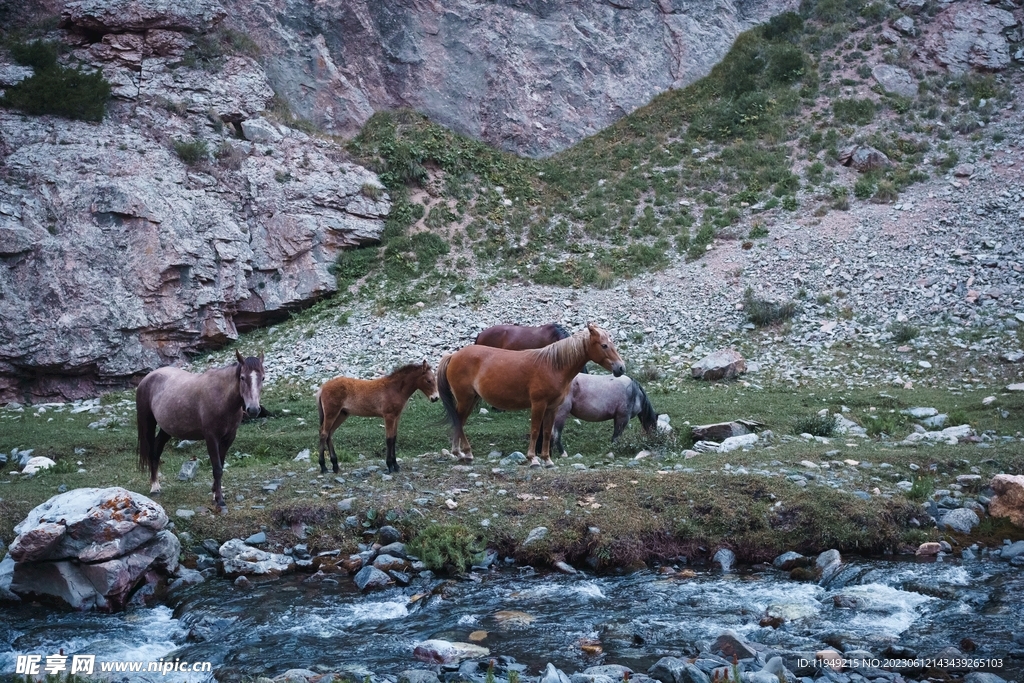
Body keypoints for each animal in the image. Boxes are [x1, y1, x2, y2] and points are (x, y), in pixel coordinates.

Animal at [136, 350, 264, 510]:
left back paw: (156, 485)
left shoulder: (228, 438)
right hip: (149, 424)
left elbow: (221, 465)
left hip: (167, 428)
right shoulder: (211, 437)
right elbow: (217, 468)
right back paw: (154, 487)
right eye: (242, 377)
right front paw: (220, 500)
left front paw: (215, 494)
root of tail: (148, 377)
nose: (253, 409)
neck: (222, 397)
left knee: (156, 450)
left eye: (263, 378)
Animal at [437, 324, 624, 468]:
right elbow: (535, 430)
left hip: (471, 400)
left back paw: (461, 453)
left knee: (459, 422)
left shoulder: (552, 407)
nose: (621, 368)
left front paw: (547, 460)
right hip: (465, 399)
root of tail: (453, 355)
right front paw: (533, 459)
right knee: (458, 422)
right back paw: (464, 453)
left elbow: (547, 432)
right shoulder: (538, 405)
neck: (553, 365)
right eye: (604, 345)